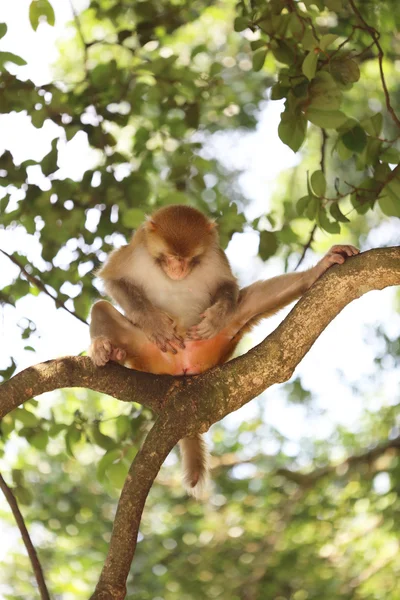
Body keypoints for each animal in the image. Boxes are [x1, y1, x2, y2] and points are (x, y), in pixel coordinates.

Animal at [90, 206, 360, 496]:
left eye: (189, 259)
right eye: (172, 257)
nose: (178, 269)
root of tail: (182, 368)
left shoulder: (214, 255)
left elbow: (228, 286)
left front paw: (216, 315)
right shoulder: (135, 250)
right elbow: (113, 279)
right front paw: (154, 323)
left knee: (247, 300)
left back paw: (316, 271)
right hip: (146, 352)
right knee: (100, 308)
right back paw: (106, 350)